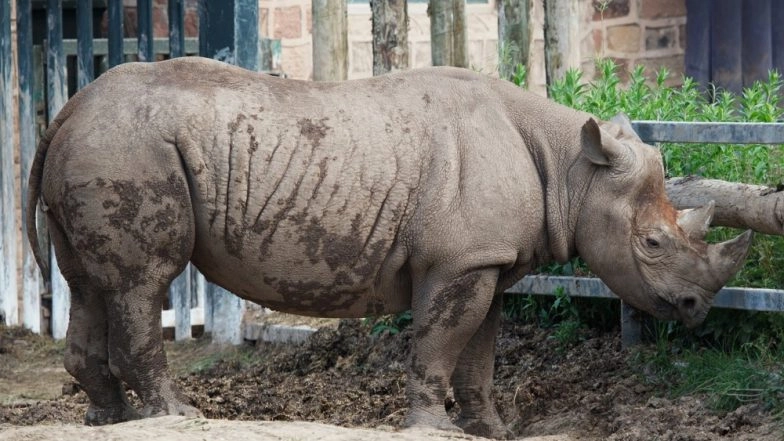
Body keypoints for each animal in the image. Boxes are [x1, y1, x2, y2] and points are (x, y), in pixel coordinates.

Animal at [27, 57, 751, 438]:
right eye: (652, 242)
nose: (697, 308)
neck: (570, 167)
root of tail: (67, 109)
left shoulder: (486, 261)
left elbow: (479, 353)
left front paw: (492, 430)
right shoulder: (458, 261)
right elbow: (440, 344)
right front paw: (433, 427)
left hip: (103, 145)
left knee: (89, 281)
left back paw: (108, 418)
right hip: (128, 147)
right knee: (141, 282)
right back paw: (176, 415)